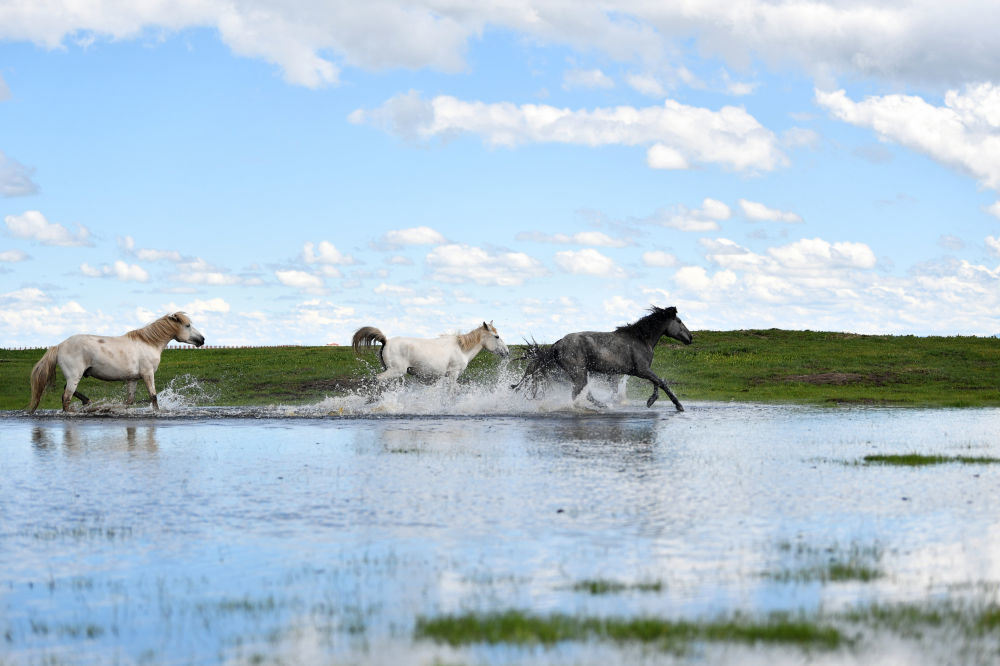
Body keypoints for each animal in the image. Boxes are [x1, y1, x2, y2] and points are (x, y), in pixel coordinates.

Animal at [27, 310, 204, 412]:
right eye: (187, 325)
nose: (202, 339)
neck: (149, 343)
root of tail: (59, 346)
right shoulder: (147, 374)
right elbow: (153, 396)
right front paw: (157, 412)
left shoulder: (133, 379)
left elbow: (129, 402)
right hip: (74, 376)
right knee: (66, 398)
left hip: (76, 376)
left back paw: (87, 402)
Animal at [350, 320, 508, 384]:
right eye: (496, 336)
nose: (506, 352)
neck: (461, 349)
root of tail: (386, 341)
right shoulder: (453, 374)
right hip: (394, 371)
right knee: (377, 380)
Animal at [512, 306, 692, 410]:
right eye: (679, 321)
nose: (690, 338)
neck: (641, 339)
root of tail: (557, 344)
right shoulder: (642, 370)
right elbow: (661, 383)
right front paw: (678, 405)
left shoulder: (639, 371)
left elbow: (657, 383)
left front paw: (650, 401)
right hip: (579, 373)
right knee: (578, 394)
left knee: (585, 393)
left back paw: (602, 405)